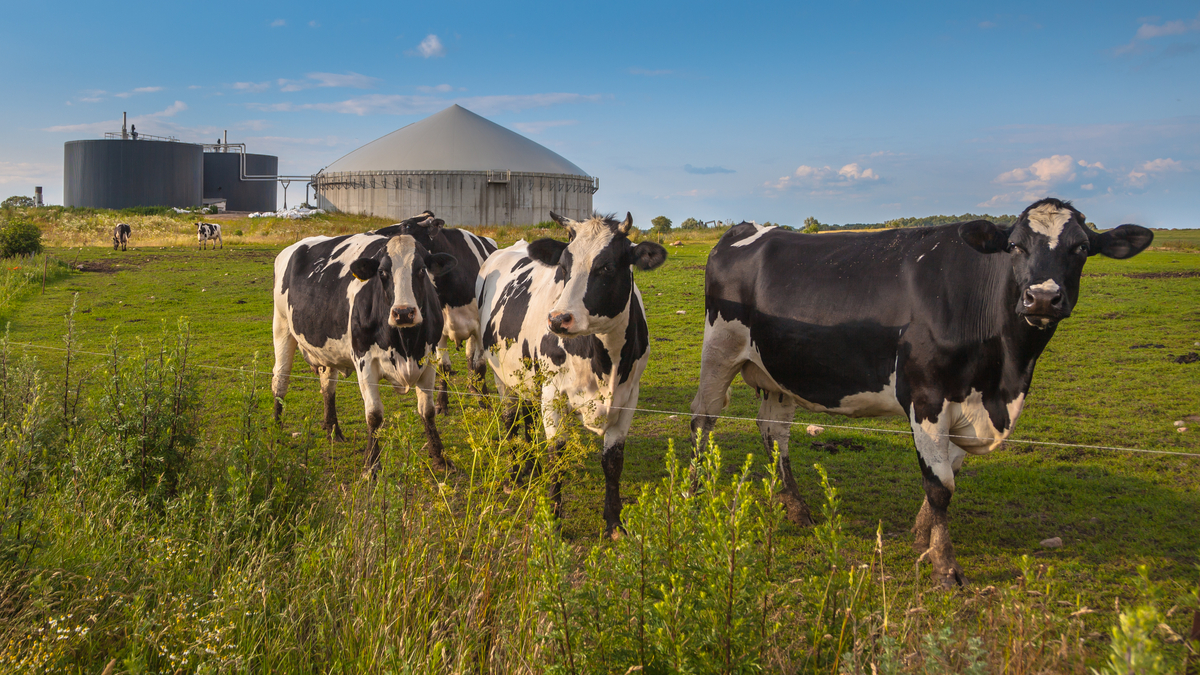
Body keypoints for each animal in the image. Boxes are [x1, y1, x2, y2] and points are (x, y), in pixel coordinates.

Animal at [271, 231, 458, 471]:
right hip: (282, 327)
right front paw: (371, 465)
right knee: (280, 381)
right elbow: (374, 415)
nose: (403, 313)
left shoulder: (429, 359)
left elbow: (428, 411)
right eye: (382, 272)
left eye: (421, 270)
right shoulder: (365, 362)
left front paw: (440, 458)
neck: (405, 344)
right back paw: (277, 431)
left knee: (327, 386)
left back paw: (333, 430)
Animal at [371, 210, 498, 413]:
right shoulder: (439, 330)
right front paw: (441, 402)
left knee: (471, 357)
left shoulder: (479, 328)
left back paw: (475, 387)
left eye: (407, 225)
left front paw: (484, 400)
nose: (374, 233)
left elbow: (479, 365)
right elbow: (443, 367)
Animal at [477, 212, 667, 536]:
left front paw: (614, 522)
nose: (558, 319)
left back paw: (531, 467)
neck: (605, 362)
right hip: (502, 376)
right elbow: (558, 456)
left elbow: (613, 461)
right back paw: (515, 475)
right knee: (511, 420)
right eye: (563, 268)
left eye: (606, 267)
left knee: (527, 417)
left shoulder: (628, 398)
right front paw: (553, 521)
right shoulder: (553, 395)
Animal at [689, 198, 1152, 588]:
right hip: (719, 350)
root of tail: (746, 228)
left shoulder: (968, 405)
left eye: (1081, 247)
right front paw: (945, 566)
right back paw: (692, 492)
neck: (1003, 378)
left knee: (774, 432)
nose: (1041, 298)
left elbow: (950, 472)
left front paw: (921, 537)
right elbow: (940, 484)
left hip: (779, 371)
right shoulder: (926, 395)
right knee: (703, 418)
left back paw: (796, 508)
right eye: (1015, 246)